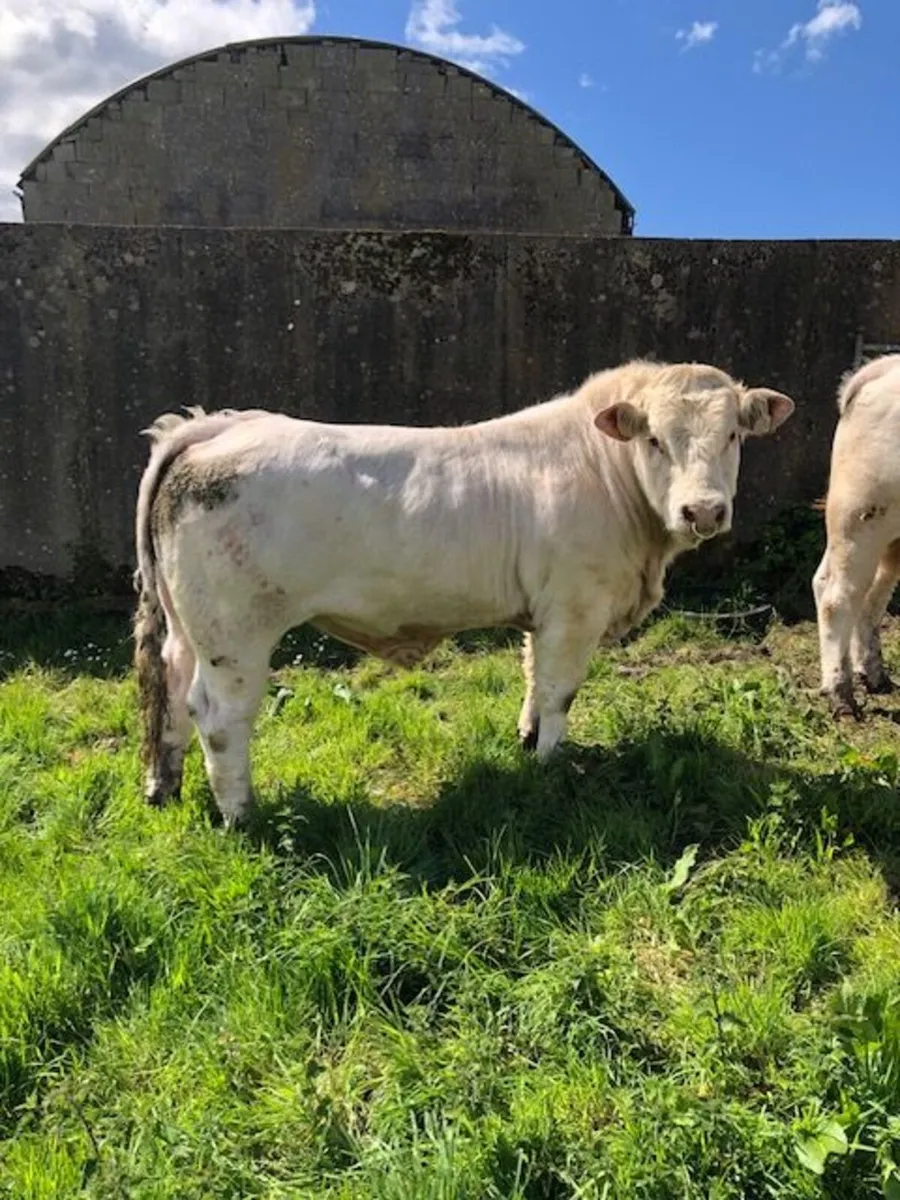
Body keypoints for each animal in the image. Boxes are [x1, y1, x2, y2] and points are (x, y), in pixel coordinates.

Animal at [133, 360, 795, 826]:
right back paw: (243, 815)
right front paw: (550, 767)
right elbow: (559, 691)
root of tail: (220, 426)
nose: (703, 510)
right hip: (235, 632)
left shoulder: (544, 612)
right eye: (654, 439)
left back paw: (165, 788)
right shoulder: (574, 608)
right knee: (219, 716)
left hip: (188, 626)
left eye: (733, 435)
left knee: (170, 693)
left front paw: (527, 741)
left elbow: (532, 678)